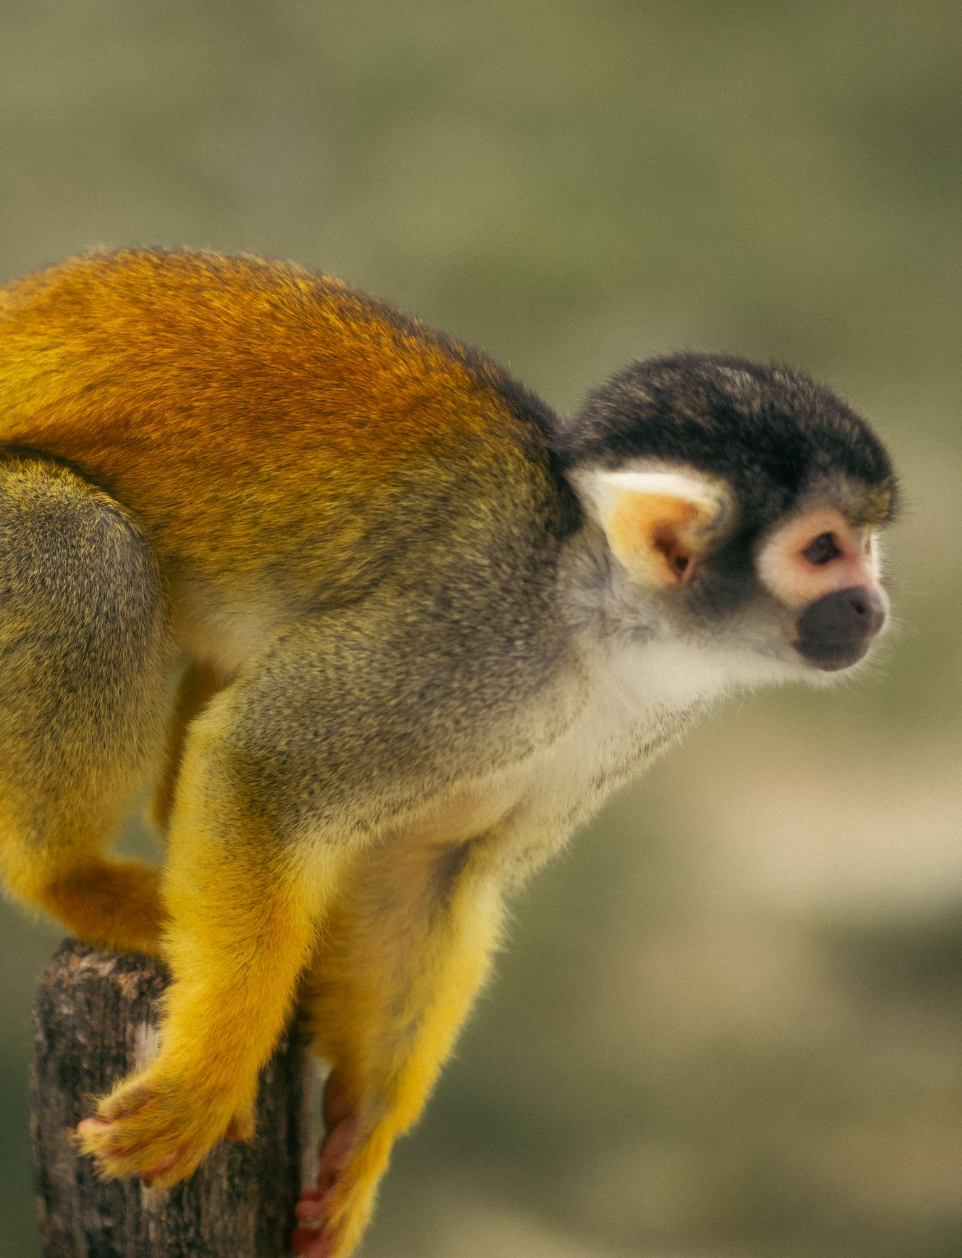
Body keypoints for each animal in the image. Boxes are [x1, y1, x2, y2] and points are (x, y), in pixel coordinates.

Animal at [0, 249, 896, 1258]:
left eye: (866, 546)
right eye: (823, 551)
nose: (873, 605)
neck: (597, 612)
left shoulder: (625, 719)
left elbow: (428, 869)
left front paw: (361, 1142)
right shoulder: (473, 636)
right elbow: (262, 766)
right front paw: (209, 1074)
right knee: (83, 547)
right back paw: (64, 877)